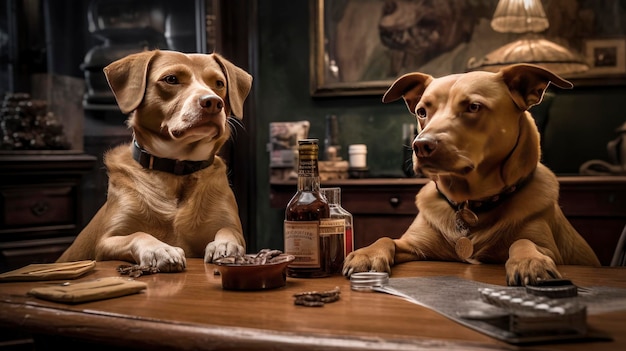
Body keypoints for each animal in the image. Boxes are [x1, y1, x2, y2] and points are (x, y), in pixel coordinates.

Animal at [57, 50, 252, 272]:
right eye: (171, 79)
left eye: (219, 83)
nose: (213, 102)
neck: (177, 169)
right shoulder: (107, 241)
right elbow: (137, 234)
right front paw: (159, 249)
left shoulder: (228, 224)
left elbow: (229, 232)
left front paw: (225, 245)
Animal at [342, 64, 600, 288]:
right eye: (422, 111)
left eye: (474, 107)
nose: (421, 146)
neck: (469, 203)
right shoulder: (414, 245)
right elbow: (385, 238)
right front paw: (367, 254)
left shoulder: (548, 247)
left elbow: (523, 241)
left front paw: (529, 261)